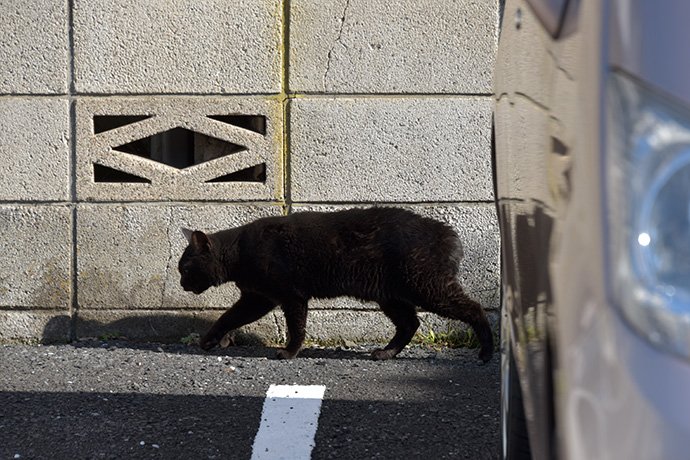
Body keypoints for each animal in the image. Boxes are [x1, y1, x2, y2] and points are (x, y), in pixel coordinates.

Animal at [176, 207, 490, 362]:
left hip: (427, 287)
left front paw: (289, 353)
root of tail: (447, 232)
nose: (180, 283)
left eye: (185, 268)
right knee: (410, 324)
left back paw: (486, 352)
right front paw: (208, 340)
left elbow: (296, 328)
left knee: (475, 308)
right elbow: (228, 317)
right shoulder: (258, 297)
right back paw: (385, 353)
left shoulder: (290, 296)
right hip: (392, 295)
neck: (239, 252)